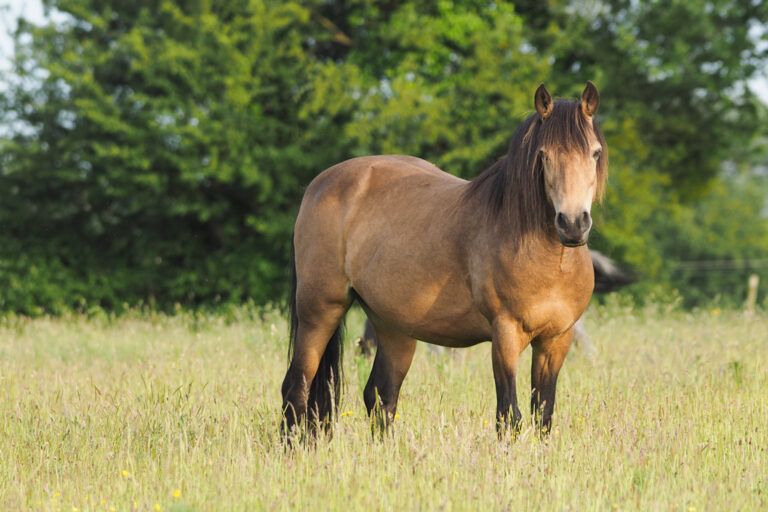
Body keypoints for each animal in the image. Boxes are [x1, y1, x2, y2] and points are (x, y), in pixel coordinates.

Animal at [281, 82, 608, 436]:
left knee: (381, 396)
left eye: (595, 153)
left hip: (393, 326)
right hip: (320, 312)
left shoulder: (557, 340)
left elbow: (543, 417)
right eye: (544, 155)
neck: (548, 260)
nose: (573, 223)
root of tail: (319, 184)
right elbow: (509, 415)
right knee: (296, 388)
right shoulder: (505, 335)